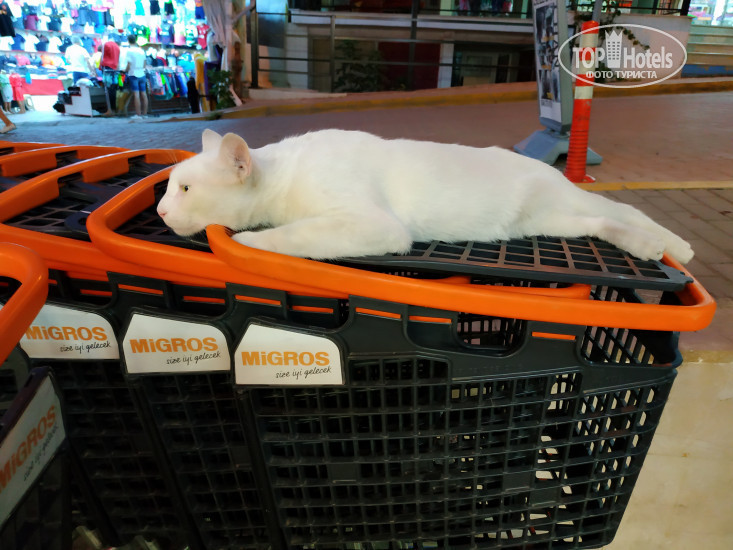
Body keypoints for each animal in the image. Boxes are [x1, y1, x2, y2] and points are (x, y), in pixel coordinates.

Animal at [157, 129, 693, 264]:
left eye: (184, 189)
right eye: (169, 186)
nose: (160, 209)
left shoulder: (374, 225)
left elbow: (293, 235)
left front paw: (247, 241)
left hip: (573, 202)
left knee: (623, 207)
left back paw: (675, 245)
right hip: (551, 221)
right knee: (602, 224)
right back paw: (649, 246)